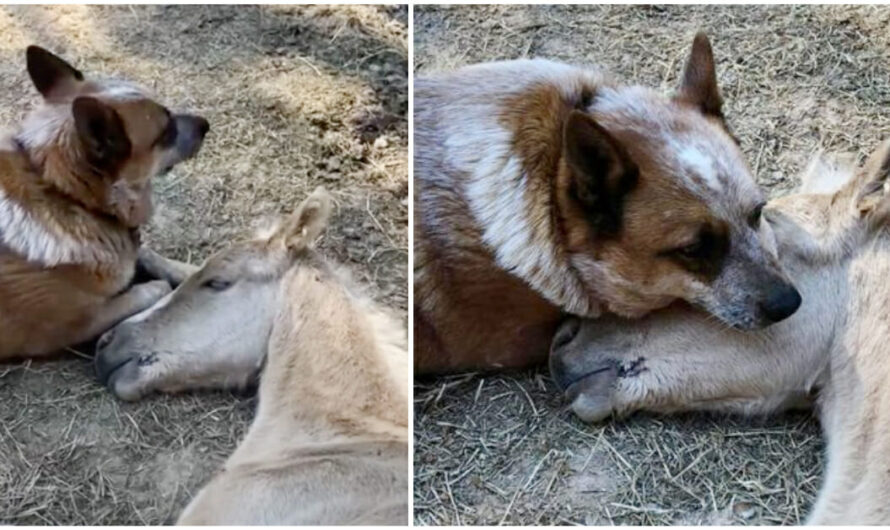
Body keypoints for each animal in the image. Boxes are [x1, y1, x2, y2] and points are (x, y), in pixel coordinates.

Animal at [0, 46, 206, 358]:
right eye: (165, 131)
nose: (207, 124)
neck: (63, 193)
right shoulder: (75, 324)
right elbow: (150, 288)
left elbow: (147, 253)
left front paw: (191, 270)